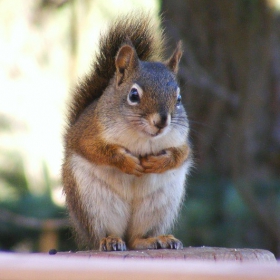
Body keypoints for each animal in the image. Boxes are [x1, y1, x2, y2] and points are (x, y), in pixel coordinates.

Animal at [61, 13, 192, 250]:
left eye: (178, 98)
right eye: (133, 95)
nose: (162, 121)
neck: (142, 137)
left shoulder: (181, 139)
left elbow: (181, 154)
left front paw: (159, 162)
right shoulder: (88, 132)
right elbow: (95, 150)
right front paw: (127, 162)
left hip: (158, 206)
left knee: (136, 238)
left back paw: (156, 239)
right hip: (93, 205)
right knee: (105, 233)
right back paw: (110, 240)